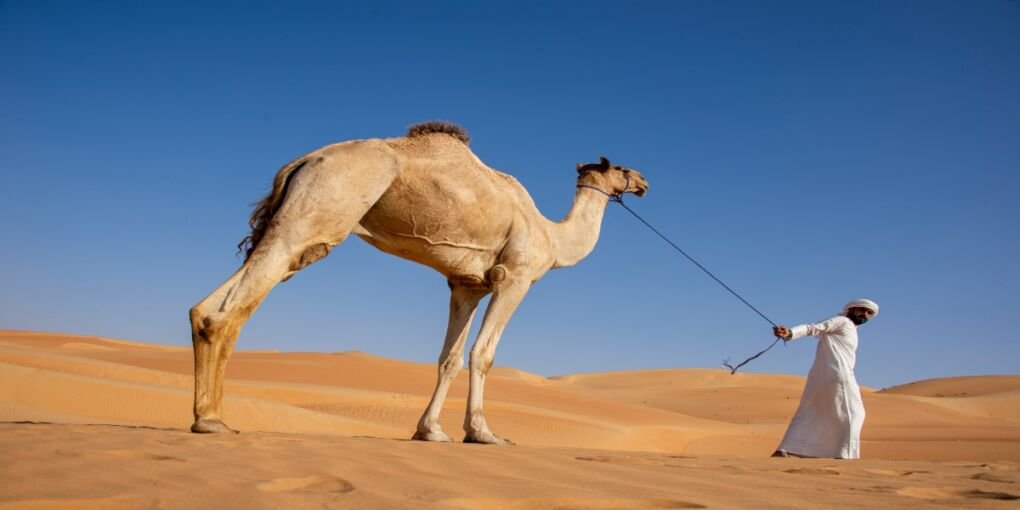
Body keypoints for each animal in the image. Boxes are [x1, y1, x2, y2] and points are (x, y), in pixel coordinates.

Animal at [190, 121, 648, 444]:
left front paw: (430, 431)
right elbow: (483, 354)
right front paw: (483, 433)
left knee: (206, 308)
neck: (553, 237)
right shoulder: (513, 277)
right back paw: (212, 420)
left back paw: (205, 415)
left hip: (293, 221)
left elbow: (449, 359)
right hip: (318, 214)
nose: (644, 181)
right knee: (233, 309)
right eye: (623, 168)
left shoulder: (467, 285)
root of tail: (304, 160)